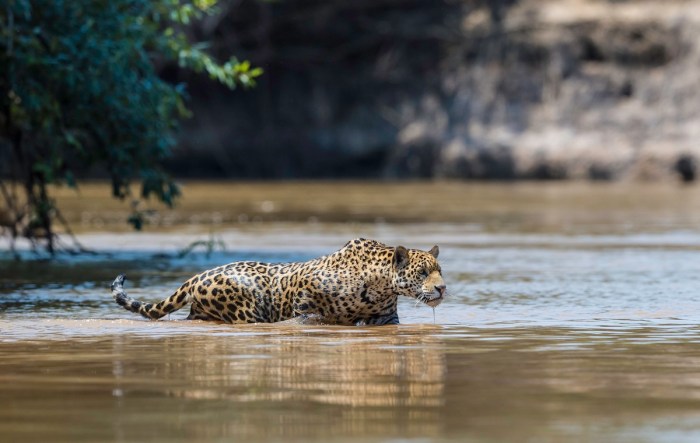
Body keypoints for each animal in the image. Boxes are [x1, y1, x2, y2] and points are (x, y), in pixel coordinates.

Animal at [110, 238, 446, 325]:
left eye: (439, 270)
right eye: (422, 273)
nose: (442, 288)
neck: (381, 284)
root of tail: (197, 276)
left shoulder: (387, 318)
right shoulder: (306, 296)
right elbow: (307, 315)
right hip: (247, 310)